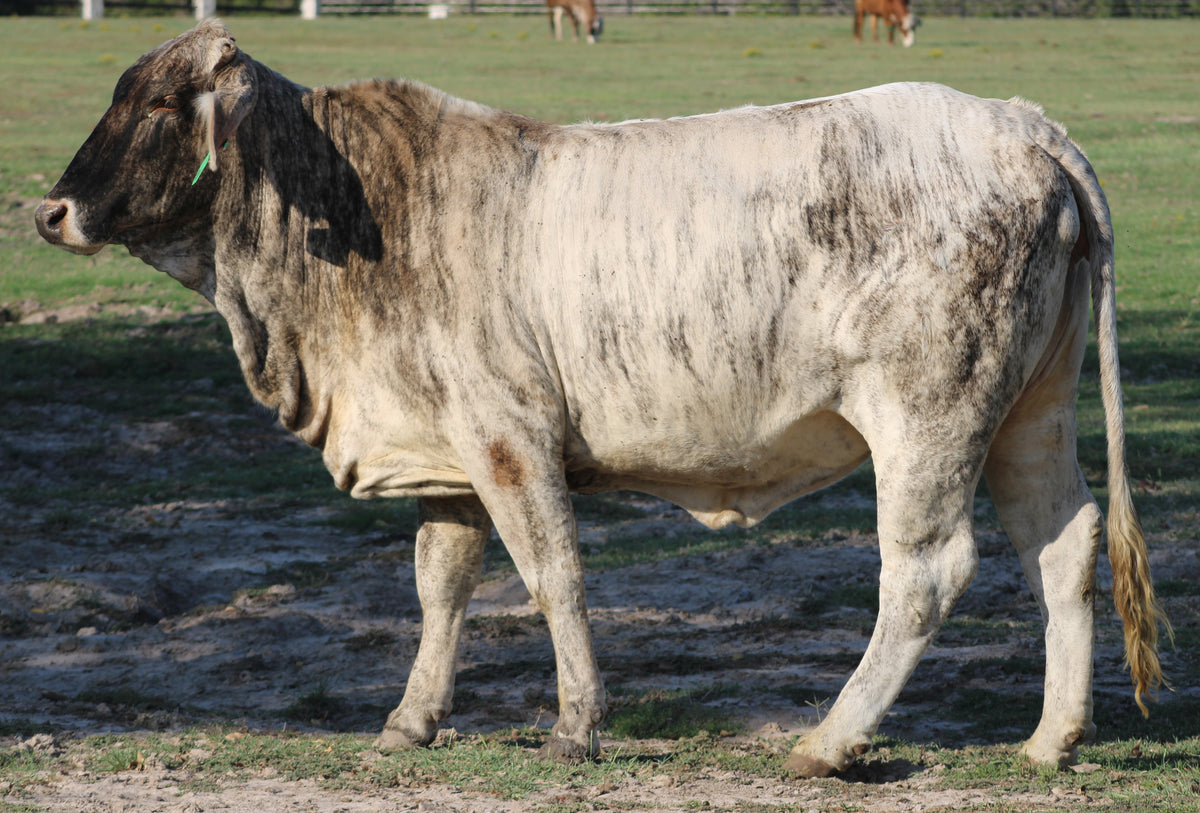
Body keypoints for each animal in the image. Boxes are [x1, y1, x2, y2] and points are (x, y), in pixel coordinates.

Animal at [35, 22, 1161, 781]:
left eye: (157, 105)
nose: (48, 211)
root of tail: (1019, 124)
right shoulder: (449, 455)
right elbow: (440, 588)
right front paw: (412, 720)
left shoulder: (510, 438)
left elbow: (554, 579)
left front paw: (577, 723)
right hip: (1028, 415)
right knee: (1063, 543)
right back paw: (1051, 739)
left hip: (930, 418)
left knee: (927, 571)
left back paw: (831, 739)